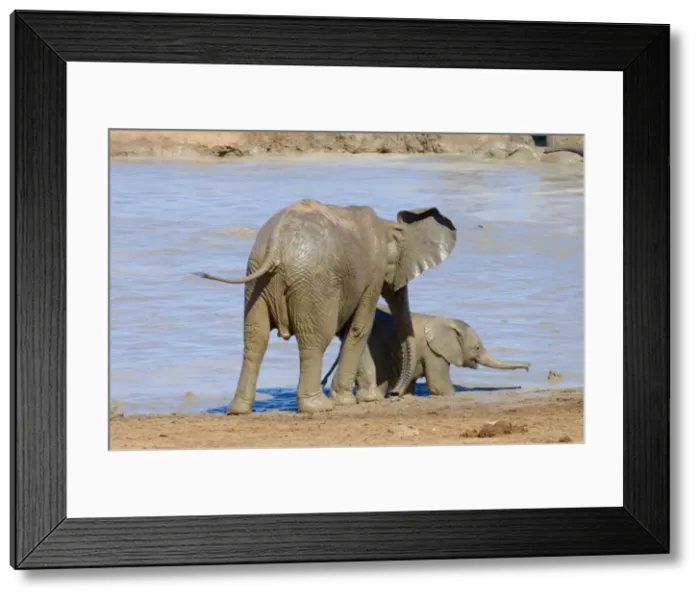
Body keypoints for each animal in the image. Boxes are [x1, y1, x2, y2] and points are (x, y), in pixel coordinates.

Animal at [194, 198, 457, 414]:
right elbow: (360, 328)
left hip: (257, 281)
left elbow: (350, 329)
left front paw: (365, 398)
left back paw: (238, 410)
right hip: (313, 283)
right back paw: (318, 406)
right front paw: (354, 401)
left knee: (255, 339)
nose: (394, 394)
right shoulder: (372, 273)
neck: (387, 227)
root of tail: (277, 241)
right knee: (315, 340)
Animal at [321, 303, 530, 399]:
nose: (529, 368)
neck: (445, 321)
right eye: (477, 348)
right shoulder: (433, 352)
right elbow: (439, 385)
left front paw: (404, 396)